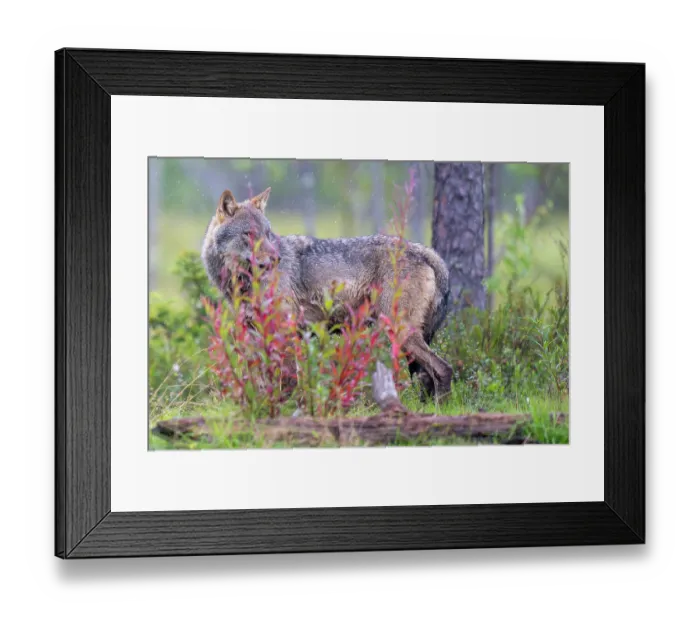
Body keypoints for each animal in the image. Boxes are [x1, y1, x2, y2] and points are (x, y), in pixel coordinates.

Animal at [201, 187, 454, 398]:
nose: (276, 258)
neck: (242, 284)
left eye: (267, 233)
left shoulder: (286, 332)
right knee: (428, 375)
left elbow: (288, 381)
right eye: (249, 234)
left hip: (400, 331)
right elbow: (263, 383)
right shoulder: (257, 336)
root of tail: (426, 251)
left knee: (443, 369)